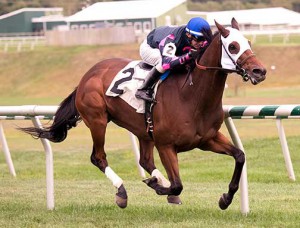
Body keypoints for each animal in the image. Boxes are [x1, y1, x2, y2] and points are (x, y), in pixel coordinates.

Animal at [21, 18, 266, 211]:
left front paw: (225, 199)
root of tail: (87, 76)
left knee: (145, 160)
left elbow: (240, 156)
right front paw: (158, 186)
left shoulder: (207, 139)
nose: (260, 71)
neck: (192, 96)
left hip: (143, 130)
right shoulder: (166, 145)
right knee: (98, 157)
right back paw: (122, 192)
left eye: (248, 43)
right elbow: (178, 183)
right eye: (233, 46)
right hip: (98, 120)